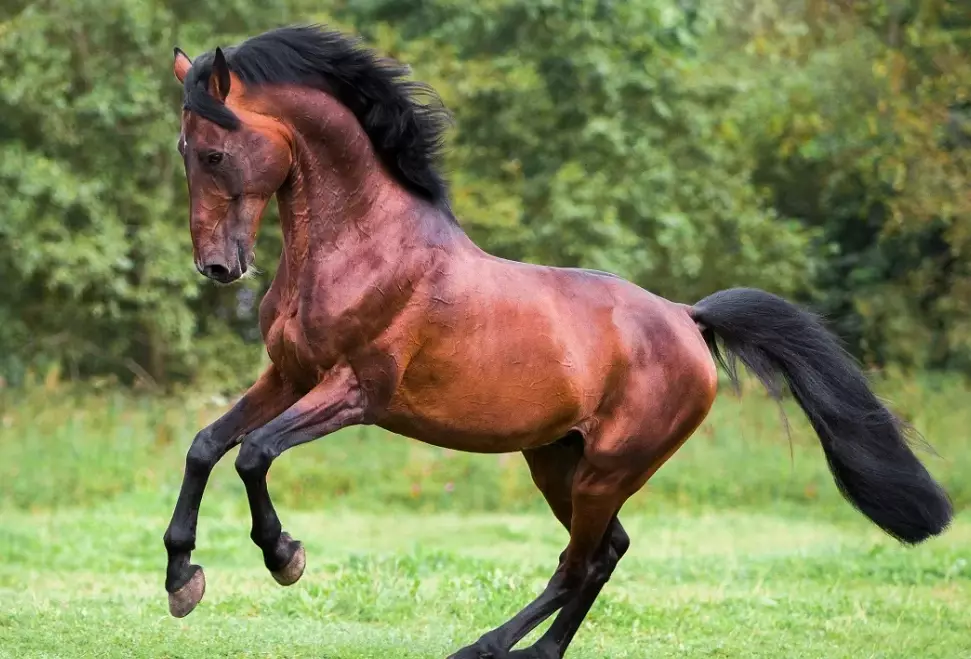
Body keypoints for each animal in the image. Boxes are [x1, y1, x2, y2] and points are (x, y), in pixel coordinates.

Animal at [162, 25, 952, 659]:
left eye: (214, 154)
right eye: (184, 150)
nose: (217, 267)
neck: (364, 246)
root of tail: (687, 319)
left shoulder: (356, 390)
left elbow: (255, 453)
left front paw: (284, 557)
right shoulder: (289, 375)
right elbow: (206, 445)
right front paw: (181, 580)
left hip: (608, 467)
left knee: (580, 562)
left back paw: (486, 648)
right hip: (556, 458)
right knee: (606, 552)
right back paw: (536, 652)